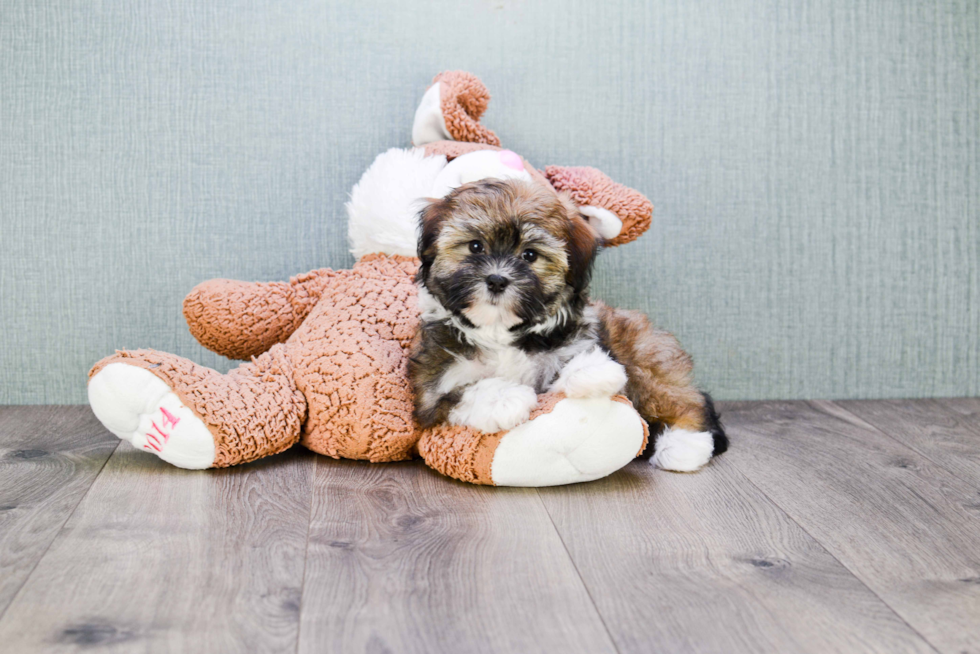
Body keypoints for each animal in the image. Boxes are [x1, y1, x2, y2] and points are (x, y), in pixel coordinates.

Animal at [408, 179, 728, 472]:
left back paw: (684, 445)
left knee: (686, 401)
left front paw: (591, 371)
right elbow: (461, 392)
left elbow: (565, 371)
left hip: (647, 362)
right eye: (475, 246)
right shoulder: (432, 389)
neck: (499, 331)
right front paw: (505, 397)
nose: (497, 279)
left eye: (530, 255)